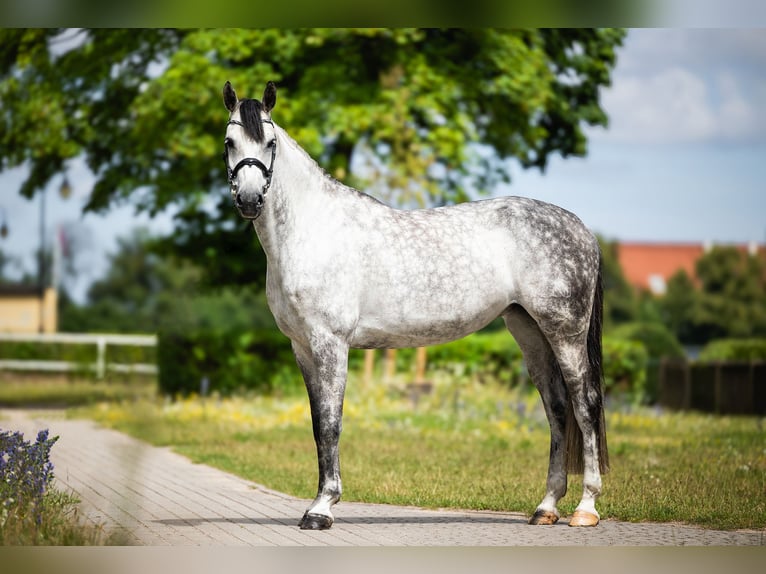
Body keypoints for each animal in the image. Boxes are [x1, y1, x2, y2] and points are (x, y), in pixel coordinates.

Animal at [222, 81, 612, 532]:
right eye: (230, 142)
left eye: (270, 143)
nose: (250, 200)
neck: (312, 231)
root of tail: (582, 229)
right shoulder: (301, 346)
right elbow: (319, 425)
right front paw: (317, 504)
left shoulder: (330, 343)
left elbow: (333, 423)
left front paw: (321, 509)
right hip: (529, 330)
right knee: (557, 408)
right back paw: (546, 507)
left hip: (565, 331)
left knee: (585, 404)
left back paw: (586, 508)